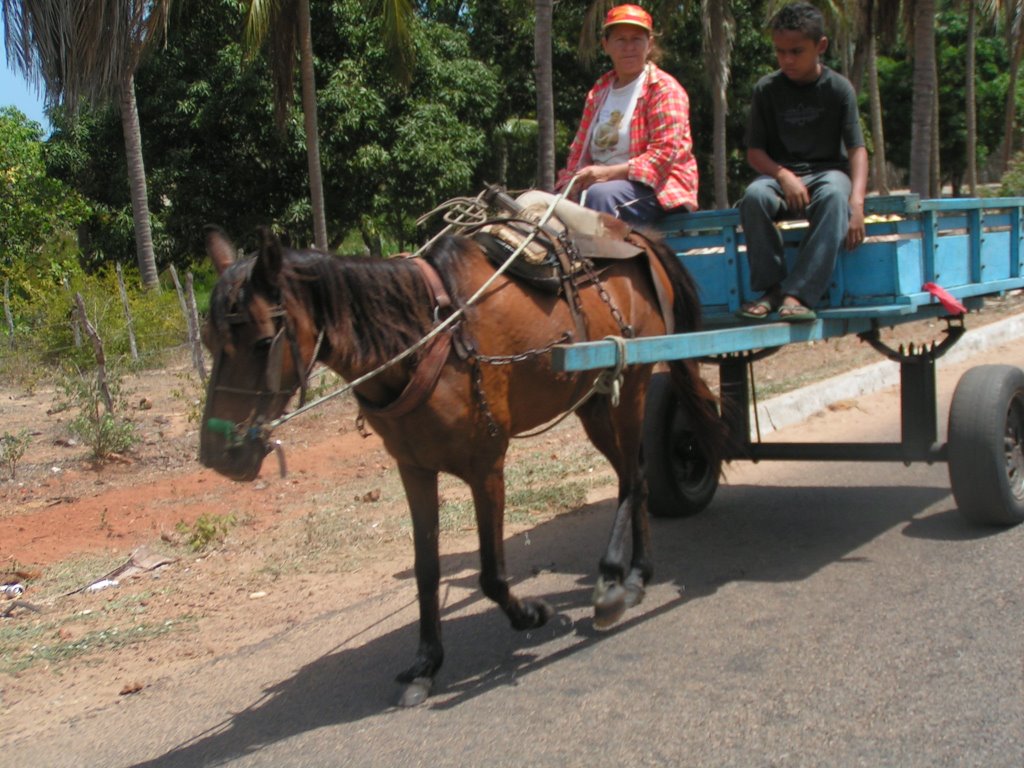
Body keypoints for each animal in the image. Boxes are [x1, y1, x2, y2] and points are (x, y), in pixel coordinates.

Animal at [199, 217, 724, 708]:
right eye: (208, 342)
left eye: (264, 342)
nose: (219, 454)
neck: (424, 340)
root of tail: (632, 236)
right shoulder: (414, 470)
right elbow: (426, 570)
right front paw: (426, 664)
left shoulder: (486, 465)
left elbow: (491, 573)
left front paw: (530, 614)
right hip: (593, 400)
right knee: (632, 476)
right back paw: (636, 572)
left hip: (631, 384)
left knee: (633, 479)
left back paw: (620, 581)